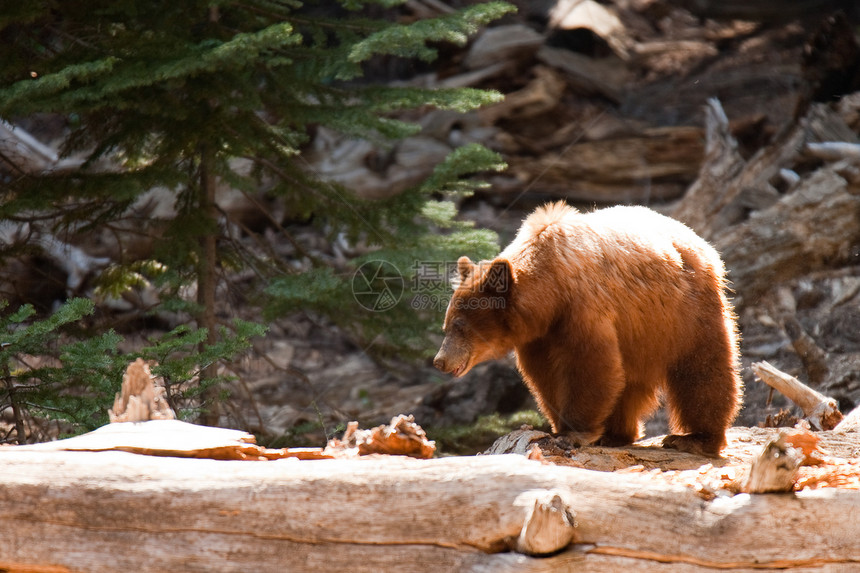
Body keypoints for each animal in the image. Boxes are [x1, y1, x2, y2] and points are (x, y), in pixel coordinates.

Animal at [434, 202, 744, 456]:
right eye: (446, 324)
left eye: (460, 326)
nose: (440, 361)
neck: (550, 292)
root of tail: (700, 242)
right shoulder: (540, 336)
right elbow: (544, 375)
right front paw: (558, 426)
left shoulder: (582, 308)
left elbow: (591, 365)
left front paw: (573, 433)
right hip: (642, 333)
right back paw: (617, 434)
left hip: (685, 313)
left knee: (703, 370)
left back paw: (694, 438)